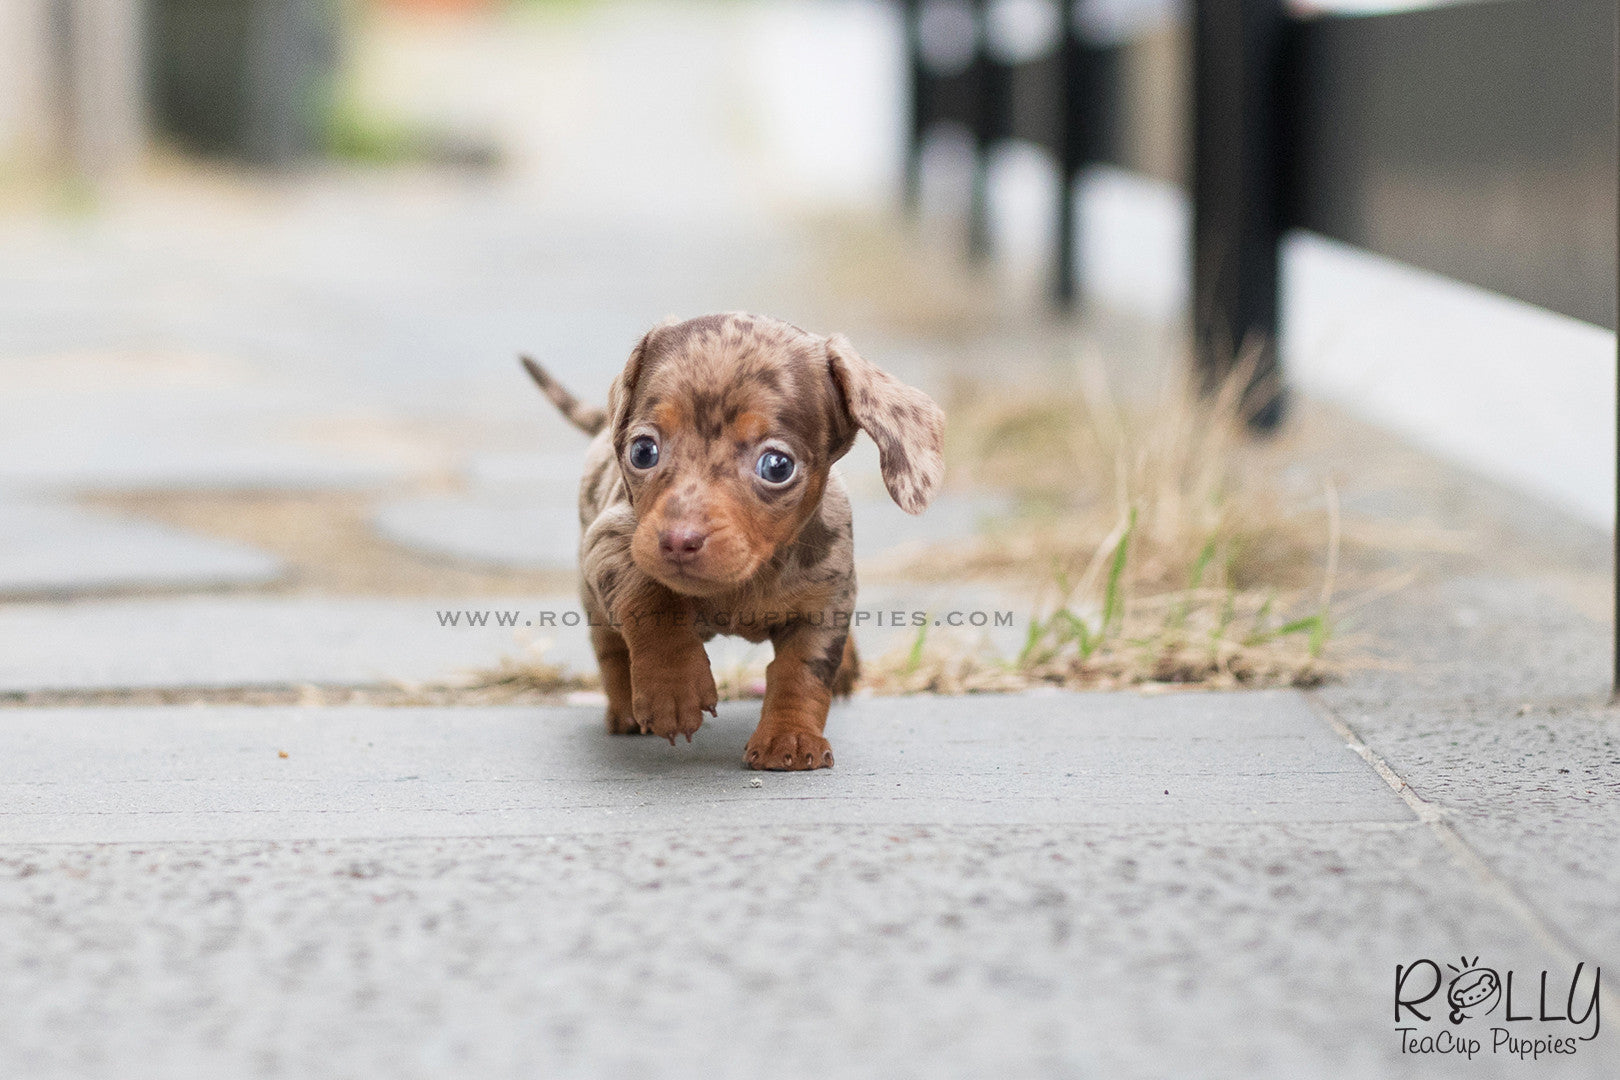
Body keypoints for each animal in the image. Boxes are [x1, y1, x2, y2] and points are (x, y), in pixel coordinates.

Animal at [524, 310, 946, 767]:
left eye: (777, 466)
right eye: (642, 451)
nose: (678, 540)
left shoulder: (825, 602)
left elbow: (802, 673)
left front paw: (790, 737)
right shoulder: (611, 542)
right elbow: (652, 602)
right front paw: (674, 689)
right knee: (611, 649)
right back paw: (626, 710)